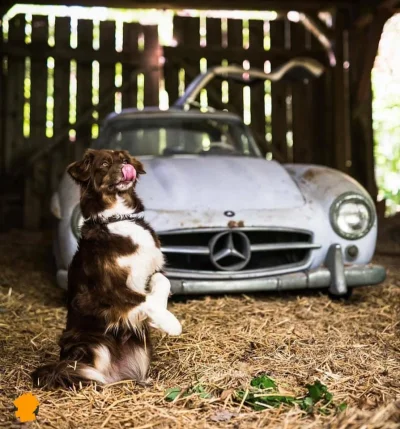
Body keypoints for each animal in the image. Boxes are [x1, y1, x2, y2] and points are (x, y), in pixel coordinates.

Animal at [32, 148, 182, 388]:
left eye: (125, 159)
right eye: (104, 164)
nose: (125, 166)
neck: (117, 218)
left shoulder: (152, 268)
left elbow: (162, 282)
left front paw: (160, 314)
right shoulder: (105, 288)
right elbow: (142, 298)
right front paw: (169, 322)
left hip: (141, 348)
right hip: (92, 345)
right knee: (88, 372)